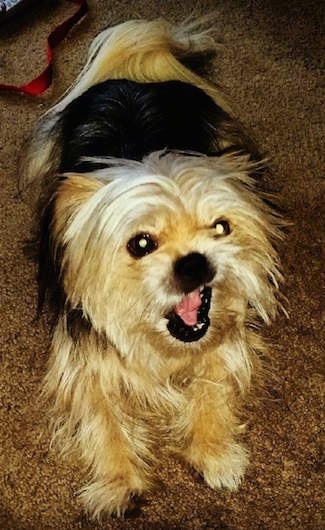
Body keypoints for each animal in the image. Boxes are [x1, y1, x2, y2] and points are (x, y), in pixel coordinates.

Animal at [21, 18, 282, 516]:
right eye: (141, 243)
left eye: (221, 228)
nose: (196, 263)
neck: (162, 348)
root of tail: (132, 79)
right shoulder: (84, 365)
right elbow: (103, 419)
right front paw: (119, 481)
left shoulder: (225, 345)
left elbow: (213, 387)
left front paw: (215, 453)